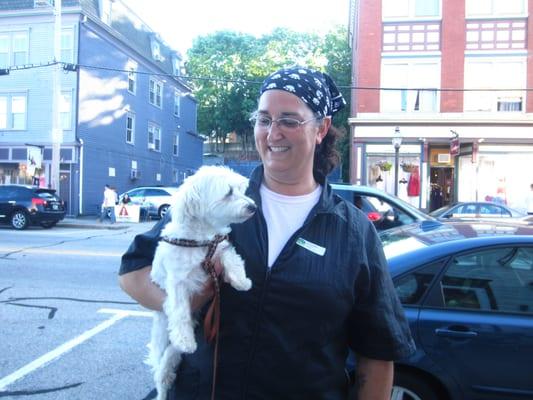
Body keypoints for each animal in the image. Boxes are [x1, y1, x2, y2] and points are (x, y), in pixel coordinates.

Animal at [144, 164, 255, 398]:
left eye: (241, 190)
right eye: (228, 192)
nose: (253, 207)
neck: (200, 239)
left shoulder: (218, 246)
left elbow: (232, 258)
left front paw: (241, 281)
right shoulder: (177, 282)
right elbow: (179, 312)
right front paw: (185, 339)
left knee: (171, 357)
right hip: (161, 338)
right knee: (161, 374)